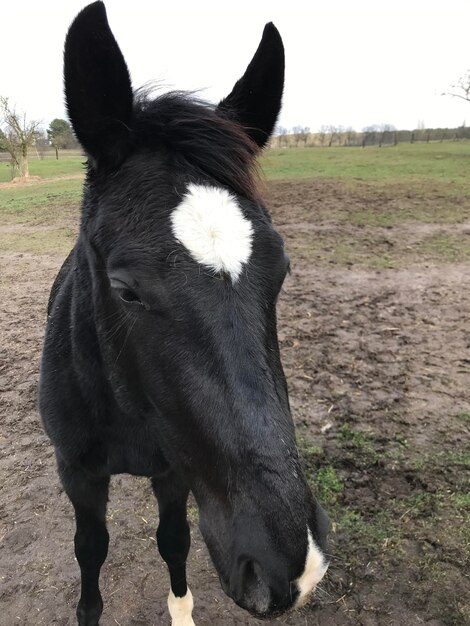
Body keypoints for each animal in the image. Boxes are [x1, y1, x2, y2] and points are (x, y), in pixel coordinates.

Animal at [38, 2, 328, 620]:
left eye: (282, 269)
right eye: (126, 290)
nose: (290, 567)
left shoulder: (174, 471)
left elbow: (173, 540)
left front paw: (180, 610)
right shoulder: (76, 473)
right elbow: (89, 549)